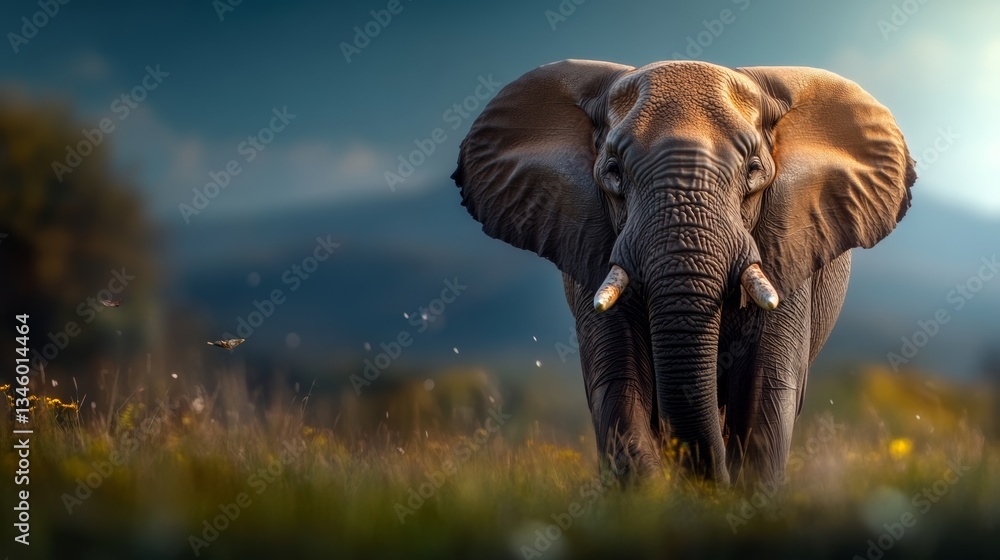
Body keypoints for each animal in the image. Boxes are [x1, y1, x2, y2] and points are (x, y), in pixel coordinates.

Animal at [452, 59, 915, 486]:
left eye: (753, 170)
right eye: (614, 172)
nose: (713, 482)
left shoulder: (788, 244)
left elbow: (765, 392)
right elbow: (620, 385)